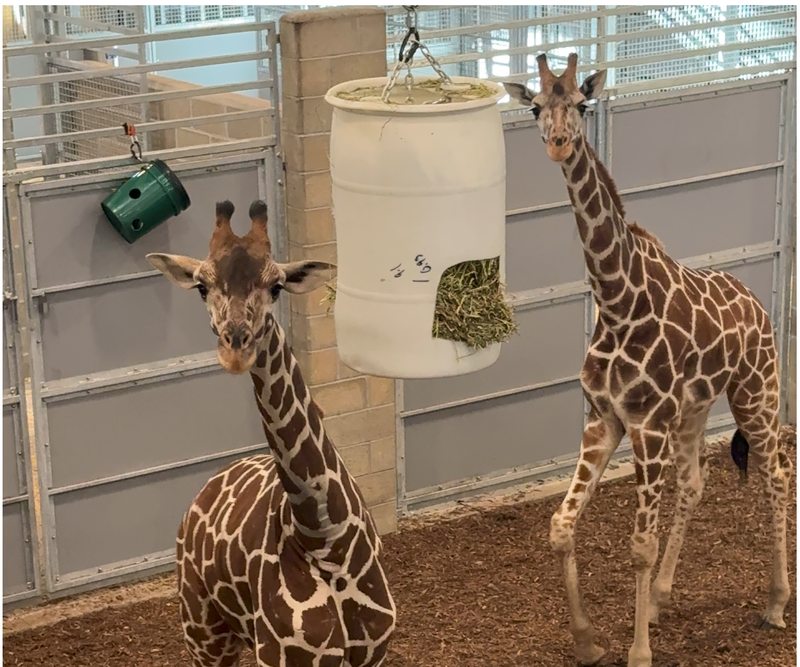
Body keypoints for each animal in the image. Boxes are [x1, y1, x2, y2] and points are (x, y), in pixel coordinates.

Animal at [146, 200, 396, 667]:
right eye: (202, 287)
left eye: (277, 286)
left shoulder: (371, 653)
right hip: (202, 629)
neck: (322, 538)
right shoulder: (282, 654)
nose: (236, 348)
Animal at [504, 54, 792, 667]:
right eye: (535, 106)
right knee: (695, 483)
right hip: (694, 412)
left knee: (777, 470)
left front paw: (638, 652)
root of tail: (756, 302)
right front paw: (588, 640)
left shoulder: (646, 425)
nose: (559, 143)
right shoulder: (605, 420)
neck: (617, 302)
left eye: (582, 102)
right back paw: (660, 599)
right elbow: (561, 525)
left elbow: (639, 543)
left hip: (755, 392)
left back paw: (776, 603)